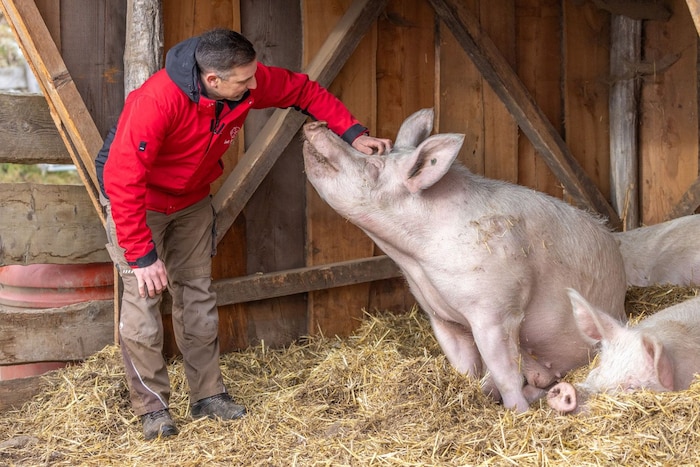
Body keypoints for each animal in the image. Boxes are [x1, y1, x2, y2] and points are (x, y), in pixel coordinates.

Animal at [302, 108, 628, 412]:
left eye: (372, 165)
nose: (315, 125)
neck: (413, 256)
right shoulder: (441, 317)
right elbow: (464, 366)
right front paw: (470, 392)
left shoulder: (496, 311)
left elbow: (506, 373)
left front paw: (517, 413)